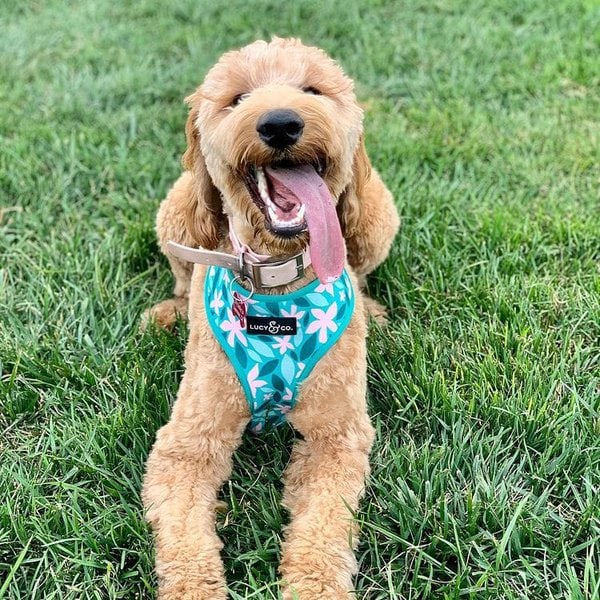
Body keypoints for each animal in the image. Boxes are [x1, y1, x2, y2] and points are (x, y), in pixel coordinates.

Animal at [142, 38, 398, 600]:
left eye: (314, 90)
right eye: (236, 98)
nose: (280, 124)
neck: (277, 281)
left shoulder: (337, 437)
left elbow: (324, 528)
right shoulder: (187, 443)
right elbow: (184, 534)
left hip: (376, 216)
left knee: (364, 266)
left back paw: (370, 308)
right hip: (179, 212)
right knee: (180, 274)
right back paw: (168, 313)